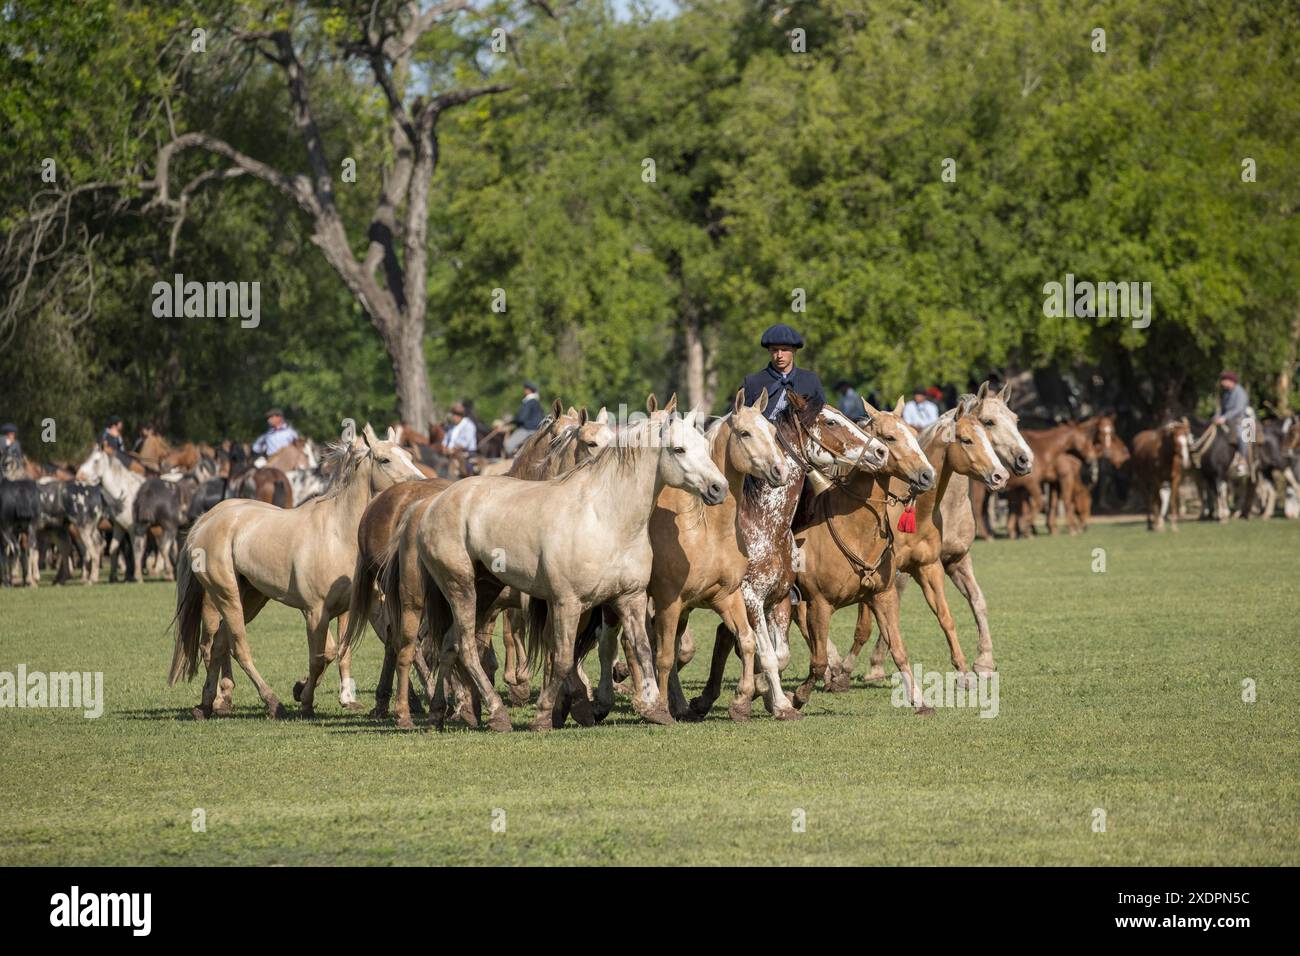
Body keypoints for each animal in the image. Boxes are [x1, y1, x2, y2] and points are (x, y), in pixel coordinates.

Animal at [167, 425, 425, 719]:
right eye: (385, 460)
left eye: (409, 455)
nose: (422, 484)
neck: (338, 534)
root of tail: (204, 523)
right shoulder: (314, 611)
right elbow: (320, 657)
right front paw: (306, 701)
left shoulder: (351, 609)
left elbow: (341, 651)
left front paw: (314, 693)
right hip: (225, 595)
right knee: (236, 647)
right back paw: (271, 703)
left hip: (250, 597)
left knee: (220, 643)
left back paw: (207, 704)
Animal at [411, 399, 727, 732]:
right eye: (678, 449)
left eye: (704, 446)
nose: (719, 488)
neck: (606, 517)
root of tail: (434, 504)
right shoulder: (567, 603)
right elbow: (562, 659)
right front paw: (543, 715)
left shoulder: (631, 598)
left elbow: (642, 649)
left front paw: (655, 708)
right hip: (460, 588)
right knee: (466, 646)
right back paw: (497, 714)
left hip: (485, 590)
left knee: (449, 644)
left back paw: (438, 713)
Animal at [790, 398, 1008, 711]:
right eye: (966, 440)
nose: (1001, 476)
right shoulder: (889, 578)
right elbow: (865, 627)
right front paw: (846, 672)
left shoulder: (927, 567)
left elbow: (945, 617)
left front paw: (964, 674)